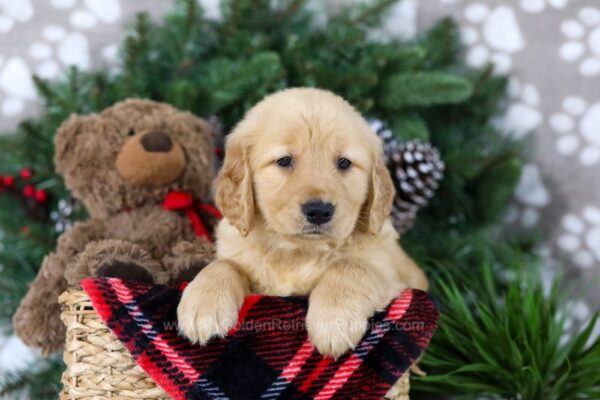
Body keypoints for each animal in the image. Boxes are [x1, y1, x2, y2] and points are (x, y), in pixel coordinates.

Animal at [177, 87, 426, 360]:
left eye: (344, 163)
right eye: (284, 160)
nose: (319, 211)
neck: (298, 252)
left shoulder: (391, 272)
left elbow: (352, 266)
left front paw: (333, 321)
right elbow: (224, 265)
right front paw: (203, 305)